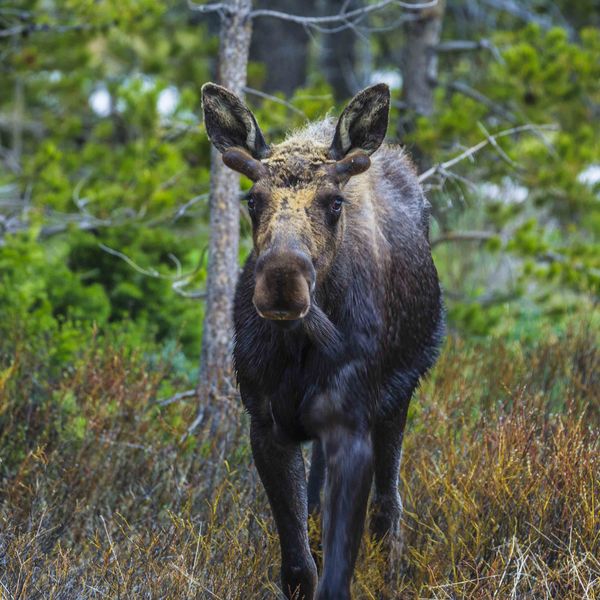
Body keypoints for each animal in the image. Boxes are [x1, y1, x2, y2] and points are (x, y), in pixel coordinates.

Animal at [204, 83, 442, 600]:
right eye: (252, 200)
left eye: (335, 202)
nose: (282, 281)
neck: (299, 347)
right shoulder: (267, 425)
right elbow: (298, 566)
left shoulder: (353, 423)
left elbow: (338, 565)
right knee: (317, 503)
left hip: (398, 399)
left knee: (388, 506)